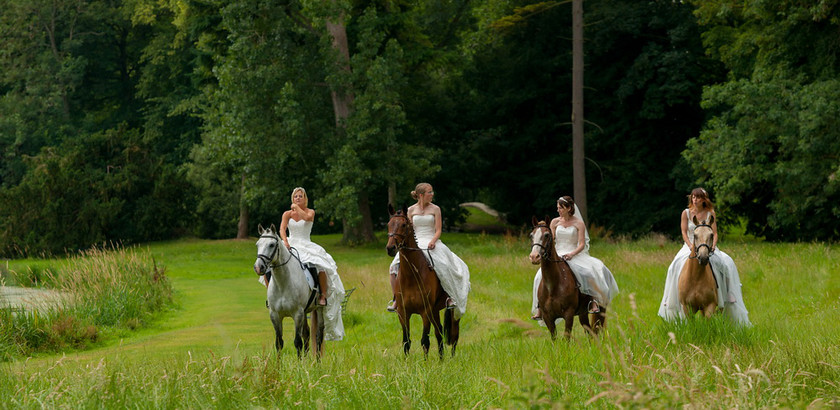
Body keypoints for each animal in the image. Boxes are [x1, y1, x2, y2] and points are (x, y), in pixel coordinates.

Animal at [253, 226, 324, 358]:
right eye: (257, 244)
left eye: (271, 245)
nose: (258, 267)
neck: (283, 284)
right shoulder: (275, 315)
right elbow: (279, 343)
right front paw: (278, 364)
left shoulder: (297, 314)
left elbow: (297, 342)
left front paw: (299, 363)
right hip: (305, 312)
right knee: (306, 334)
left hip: (319, 309)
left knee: (319, 335)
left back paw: (317, 361)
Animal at [386, 204, 460, 356]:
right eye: (388, 224)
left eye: (403, 225)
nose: (390, 248)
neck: (411, 275)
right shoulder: (403, 313)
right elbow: (406, 342)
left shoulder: (425, 312)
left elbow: (425, 341)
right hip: (435, 311)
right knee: (439, 332)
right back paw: (442, 359)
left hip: (454, 311)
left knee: (454, 334)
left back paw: (452, 359)